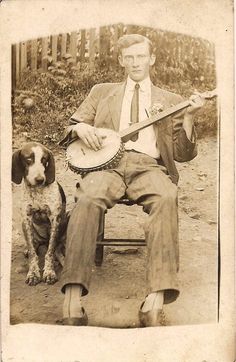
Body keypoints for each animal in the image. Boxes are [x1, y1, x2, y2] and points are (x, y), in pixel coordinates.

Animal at [12, 141, 67, 286]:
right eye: (28, 159)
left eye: (44, 160)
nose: (40, 179)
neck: (37, 191)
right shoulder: (26, 219)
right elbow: (33, 253)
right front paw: (33, 273)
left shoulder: (55, 219)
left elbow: (50, 252)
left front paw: (49, 272)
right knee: (34, 244)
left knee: (56, 248)